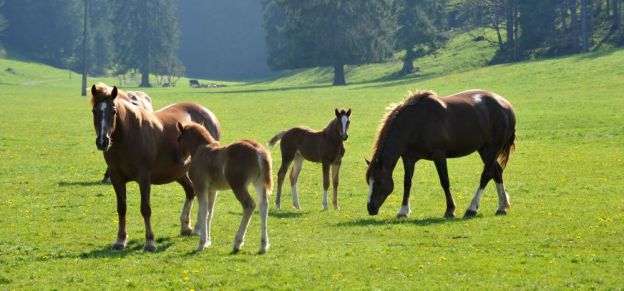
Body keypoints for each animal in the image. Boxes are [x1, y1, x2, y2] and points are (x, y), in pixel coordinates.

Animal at [89, 83, 222, 252]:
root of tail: (209, 114)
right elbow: (121, 208)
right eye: (94, 111)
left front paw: (150, 242)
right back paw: (187, 227)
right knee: (190, 192)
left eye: (113, 111)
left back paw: (198, 229)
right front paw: (120, 240)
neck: (128, 137)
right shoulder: (116, 178)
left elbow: (145, 209)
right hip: (179, 174)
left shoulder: (144, 178)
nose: (102, 141)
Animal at [176, 123, 272, 256]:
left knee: (249, 205)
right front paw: (208, 242)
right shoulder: (212, 190)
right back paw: (263, 245)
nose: (180, 159)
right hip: (259, 183)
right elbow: (209, 213)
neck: (201, 150)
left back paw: (238, 242)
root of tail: (259, 151)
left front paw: (201, 244)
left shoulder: (200, 187)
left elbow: (203, 212)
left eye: (179, 139)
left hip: (238, 186)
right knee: (263, 206)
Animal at [364, 90, 516, 220]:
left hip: (493, 148)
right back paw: (502, 207)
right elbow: (407, 183)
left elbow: (445, 181)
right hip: (484, 149)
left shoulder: (439, 156)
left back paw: (472, 209)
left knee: (486, 175)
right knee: (497, 172)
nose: (370, 208)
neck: (415, 122)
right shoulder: (408, 158)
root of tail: (507, 106)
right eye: (368, 182)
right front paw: (403, 211)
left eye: (379, 181)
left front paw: (450, 210)